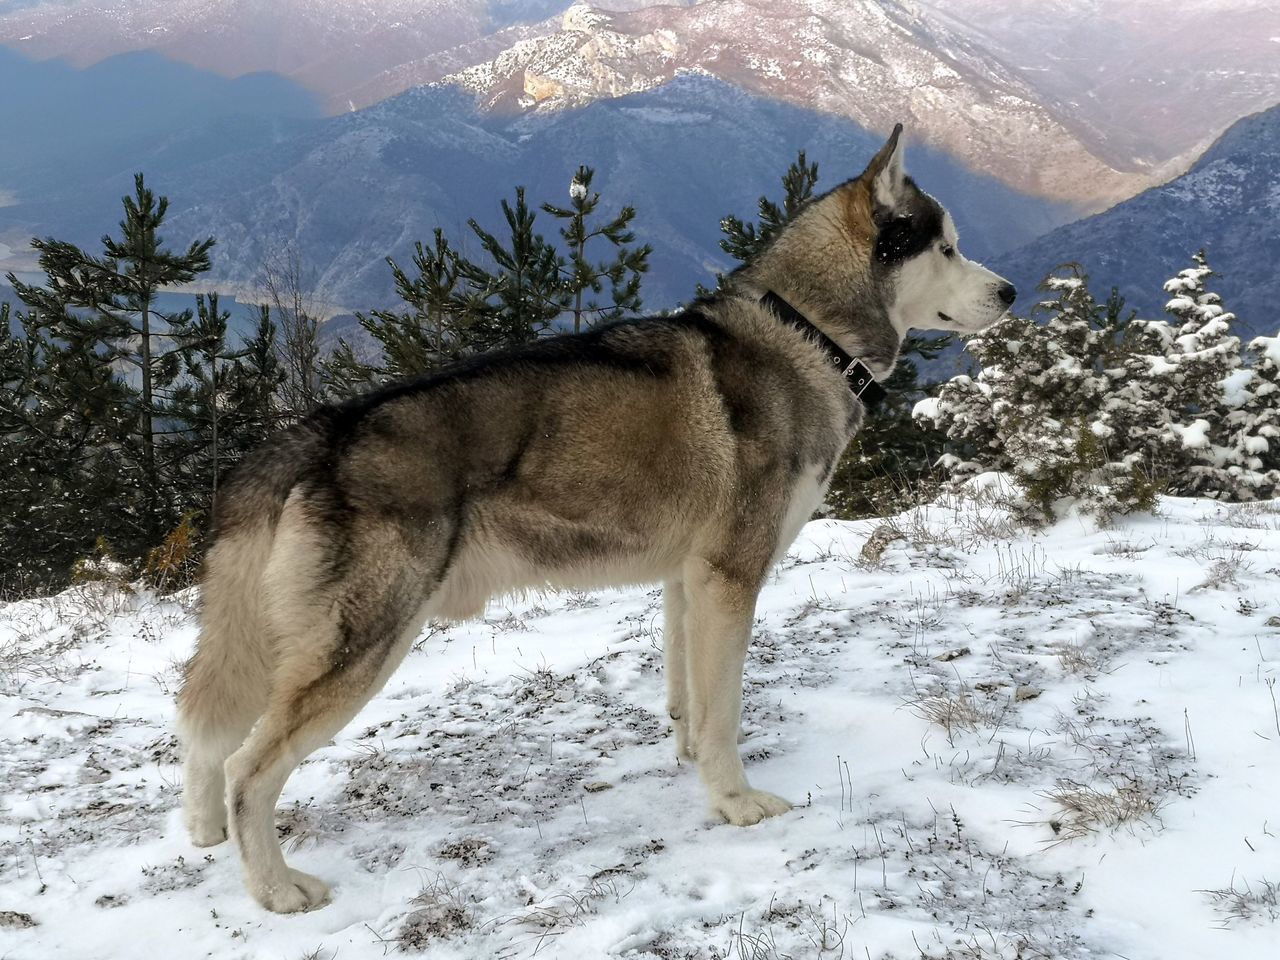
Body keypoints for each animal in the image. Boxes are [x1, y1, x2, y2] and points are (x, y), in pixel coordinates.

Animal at [177, 124, 1018, 911]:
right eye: (947, 247)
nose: (1011, 293)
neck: (809, 336)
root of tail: (324, 428)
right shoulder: (731, 580)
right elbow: (723, 714)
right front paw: (735, 802)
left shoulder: (688, 583)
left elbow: (688, 702)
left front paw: (690, 766)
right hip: (364, 645)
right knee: (248, 767)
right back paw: (276, 889)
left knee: (205, 733)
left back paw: (204, 830)